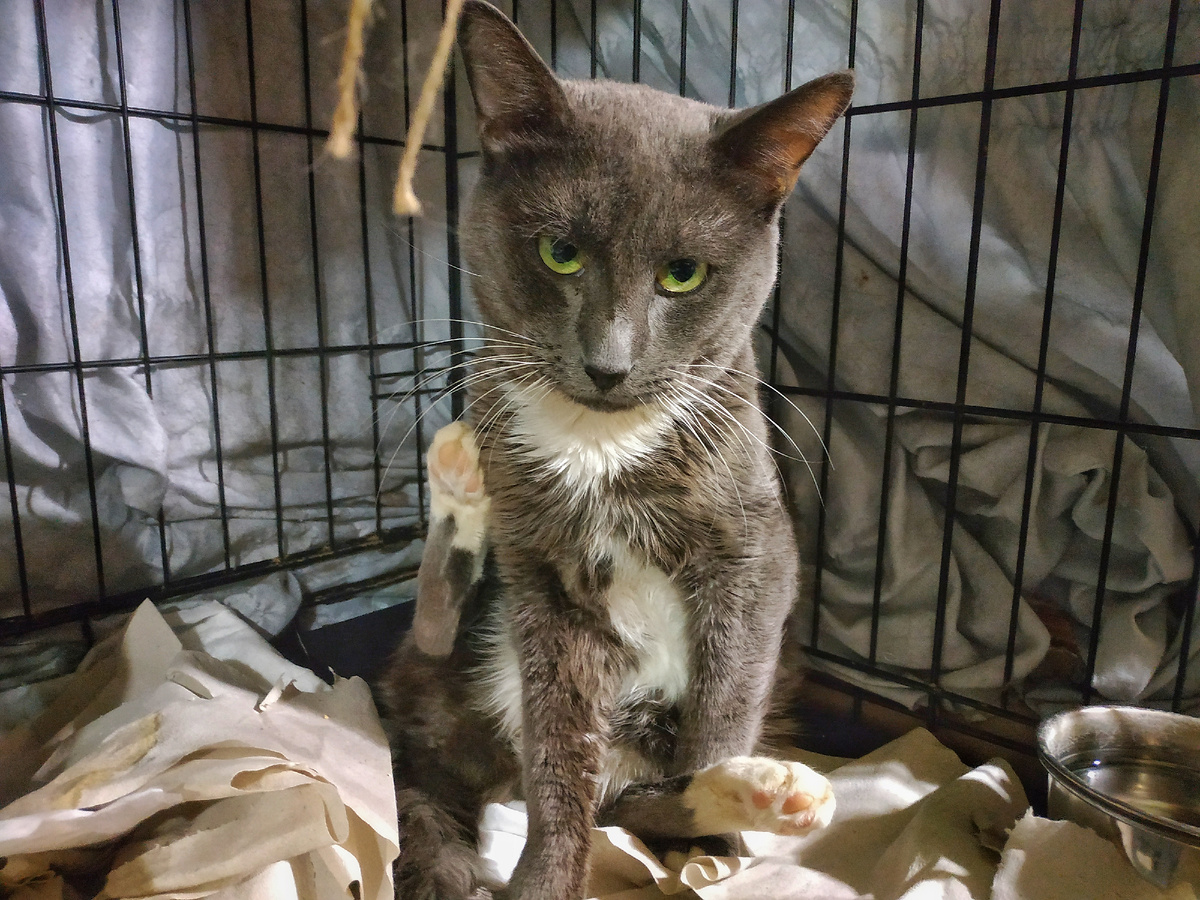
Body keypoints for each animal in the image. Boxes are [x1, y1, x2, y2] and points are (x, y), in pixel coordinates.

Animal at [376, 3, 853, 898]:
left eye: (683, 273)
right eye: (560, 252)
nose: (609, 364)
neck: (598, 441)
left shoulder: (755, 549)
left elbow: (725, 700)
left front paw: (714, 852)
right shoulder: (546, 588)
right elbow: (558, 750)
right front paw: (545, 877)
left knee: (644, 794)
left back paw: (759, 794)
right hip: (470, 632)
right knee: (438, 630)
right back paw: (459, 477)